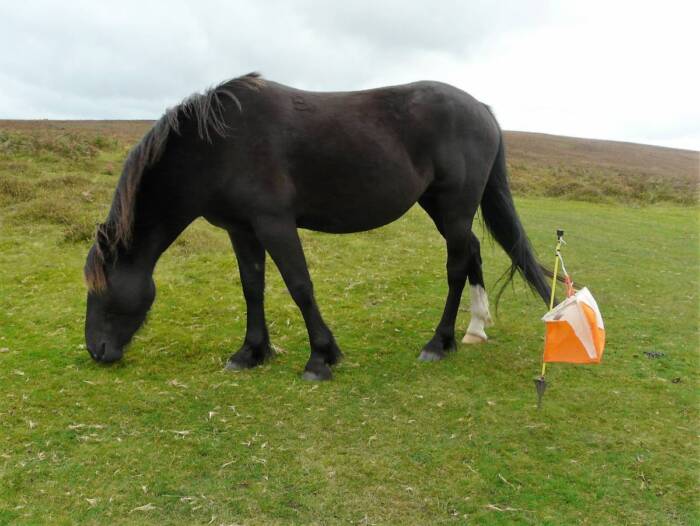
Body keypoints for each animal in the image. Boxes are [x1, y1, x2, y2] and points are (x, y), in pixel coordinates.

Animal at [84, 72, 551, 380]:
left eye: (102, 288)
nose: (96, 351)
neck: (217, 146)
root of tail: (482, 110)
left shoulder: (274, 224)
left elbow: (299, 286)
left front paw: (321, 357)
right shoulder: (242, 230)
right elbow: (252, 287)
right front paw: (251, 352)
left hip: (453, 209)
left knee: (456, 266)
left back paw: (439, 343)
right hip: (443, 210)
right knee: (471, 251)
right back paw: (475, 327)